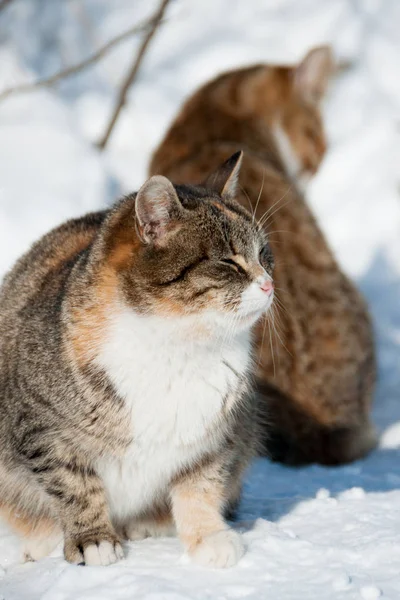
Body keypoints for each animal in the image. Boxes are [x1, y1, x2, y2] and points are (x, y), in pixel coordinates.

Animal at [0, 154, 276, 568]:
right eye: (228, 261)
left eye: (263, 255)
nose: (269, 284)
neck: (177, 344)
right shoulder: (41, 428)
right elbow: (74, 484)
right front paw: (93, 539)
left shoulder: (219, 434)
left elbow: (201, 484)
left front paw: (208, 536)